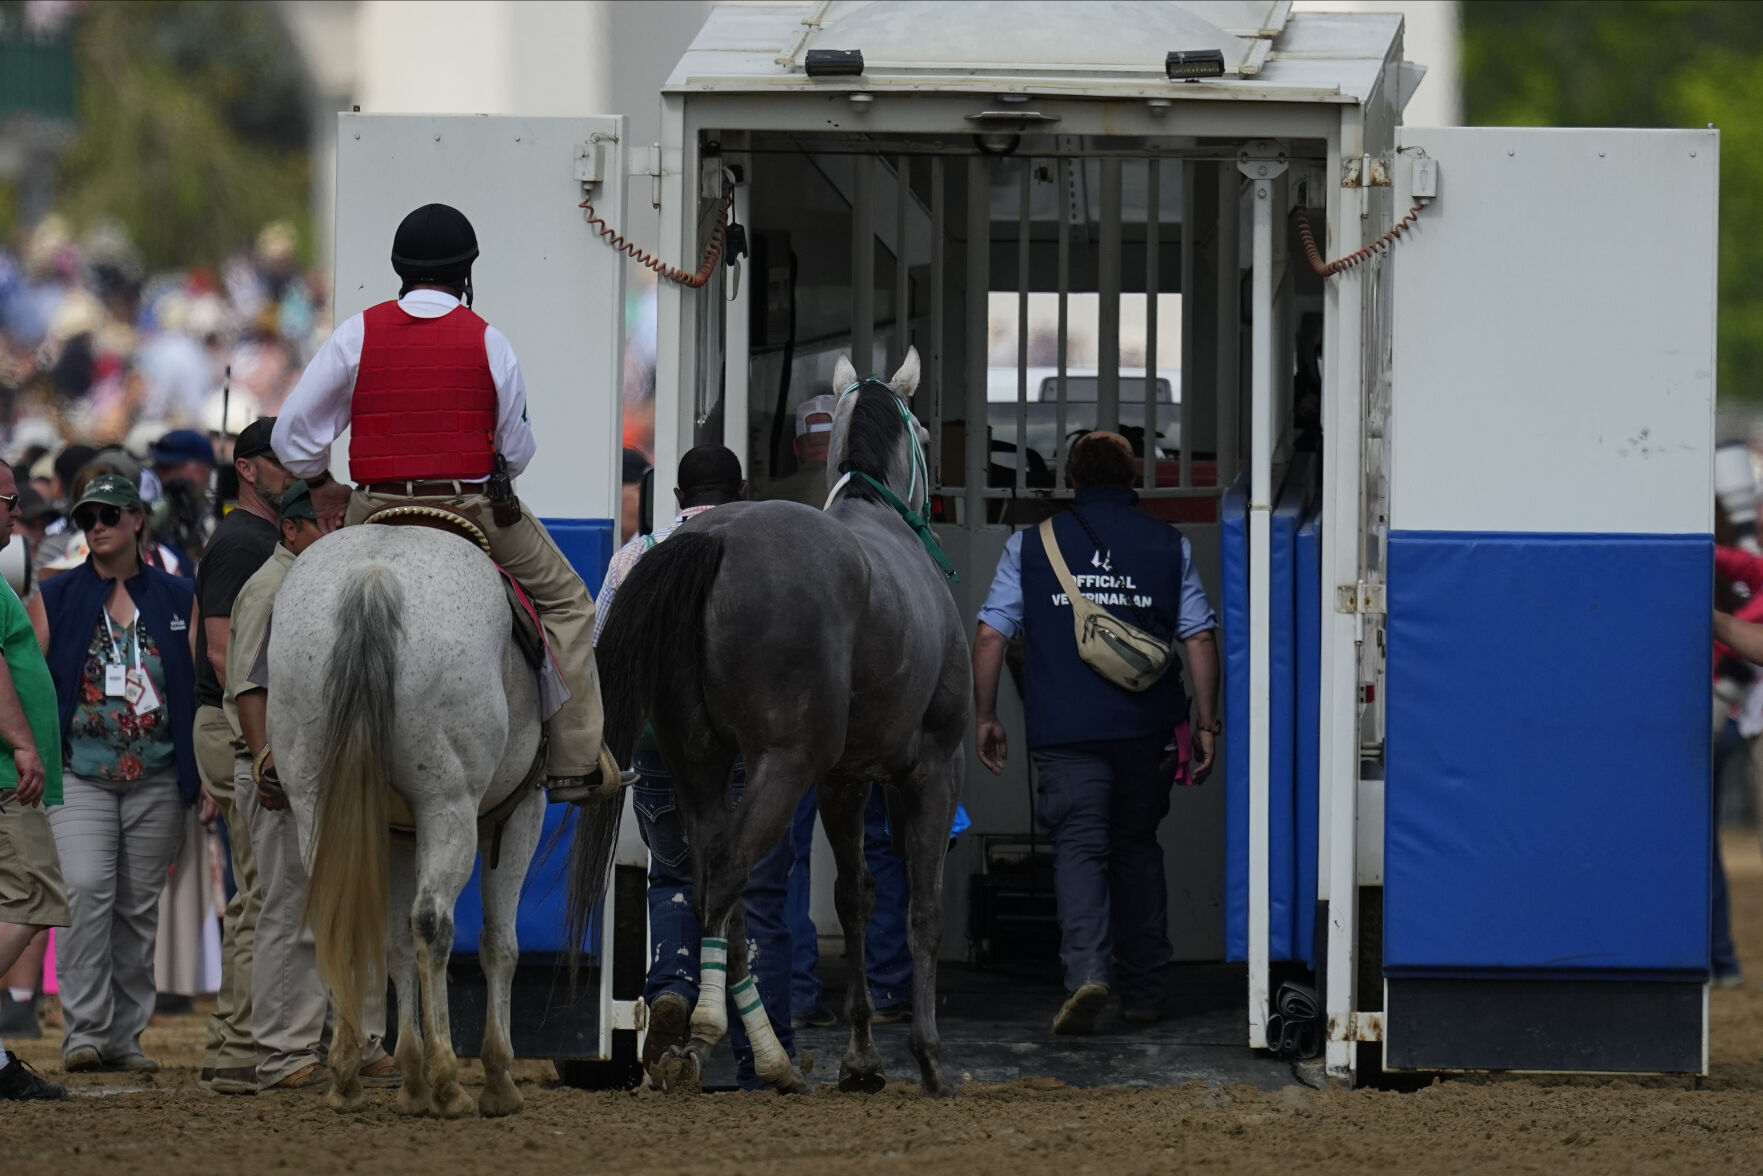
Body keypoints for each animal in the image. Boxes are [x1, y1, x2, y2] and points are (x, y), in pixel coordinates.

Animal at [266, 525, 543, 1121]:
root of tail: (374, 577)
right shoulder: (519, 813)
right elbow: (500, 944)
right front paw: (496, 1078)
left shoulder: (394, 834)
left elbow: (392, 944)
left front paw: (410, 1077)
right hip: (448, 805)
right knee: (433, 923)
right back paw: (448, 1081)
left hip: (316, 800)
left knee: (343, 916)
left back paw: (348, 1074)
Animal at [567, 347, 966, 1093]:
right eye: (926, 435)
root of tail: (716, 540)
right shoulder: (931, 767)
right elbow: (923, 908)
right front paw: (927, 1057)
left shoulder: (844, 780)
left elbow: (854, 897)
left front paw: (861, 1056)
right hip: (782, 764)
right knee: (729, 871)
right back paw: (708, 1033)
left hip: (697, 762)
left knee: (706, 886)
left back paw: (753, 1050)